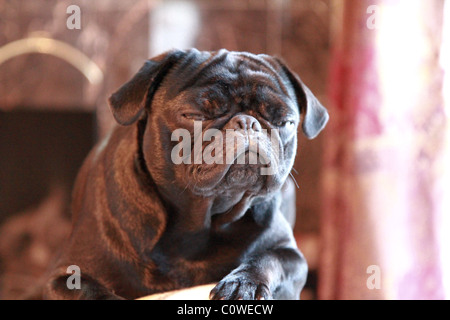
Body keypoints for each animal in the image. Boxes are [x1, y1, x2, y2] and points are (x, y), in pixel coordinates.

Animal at [44, 48, 328, 298]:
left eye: (285, 122)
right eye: (194, 116)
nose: (247, 122)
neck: (199, 219)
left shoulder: (290, 255)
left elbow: (268, 259)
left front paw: (243, 284)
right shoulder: (65, 276)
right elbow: (92, 291)